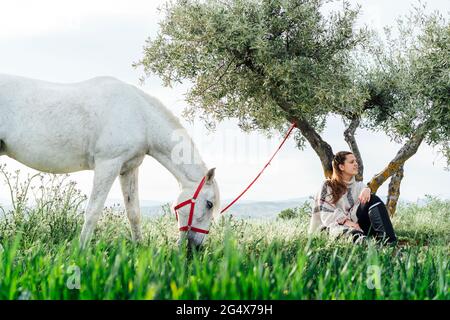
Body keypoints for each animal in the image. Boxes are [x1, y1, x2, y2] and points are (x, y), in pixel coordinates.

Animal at [0, 74, 221, 248]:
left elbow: (134, 213)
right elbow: (93, 211)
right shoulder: (108, 165)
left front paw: (139, 249)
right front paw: (81, 251)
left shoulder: (128, 169)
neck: (140, 116)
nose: (195, 248)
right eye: (209, 204)